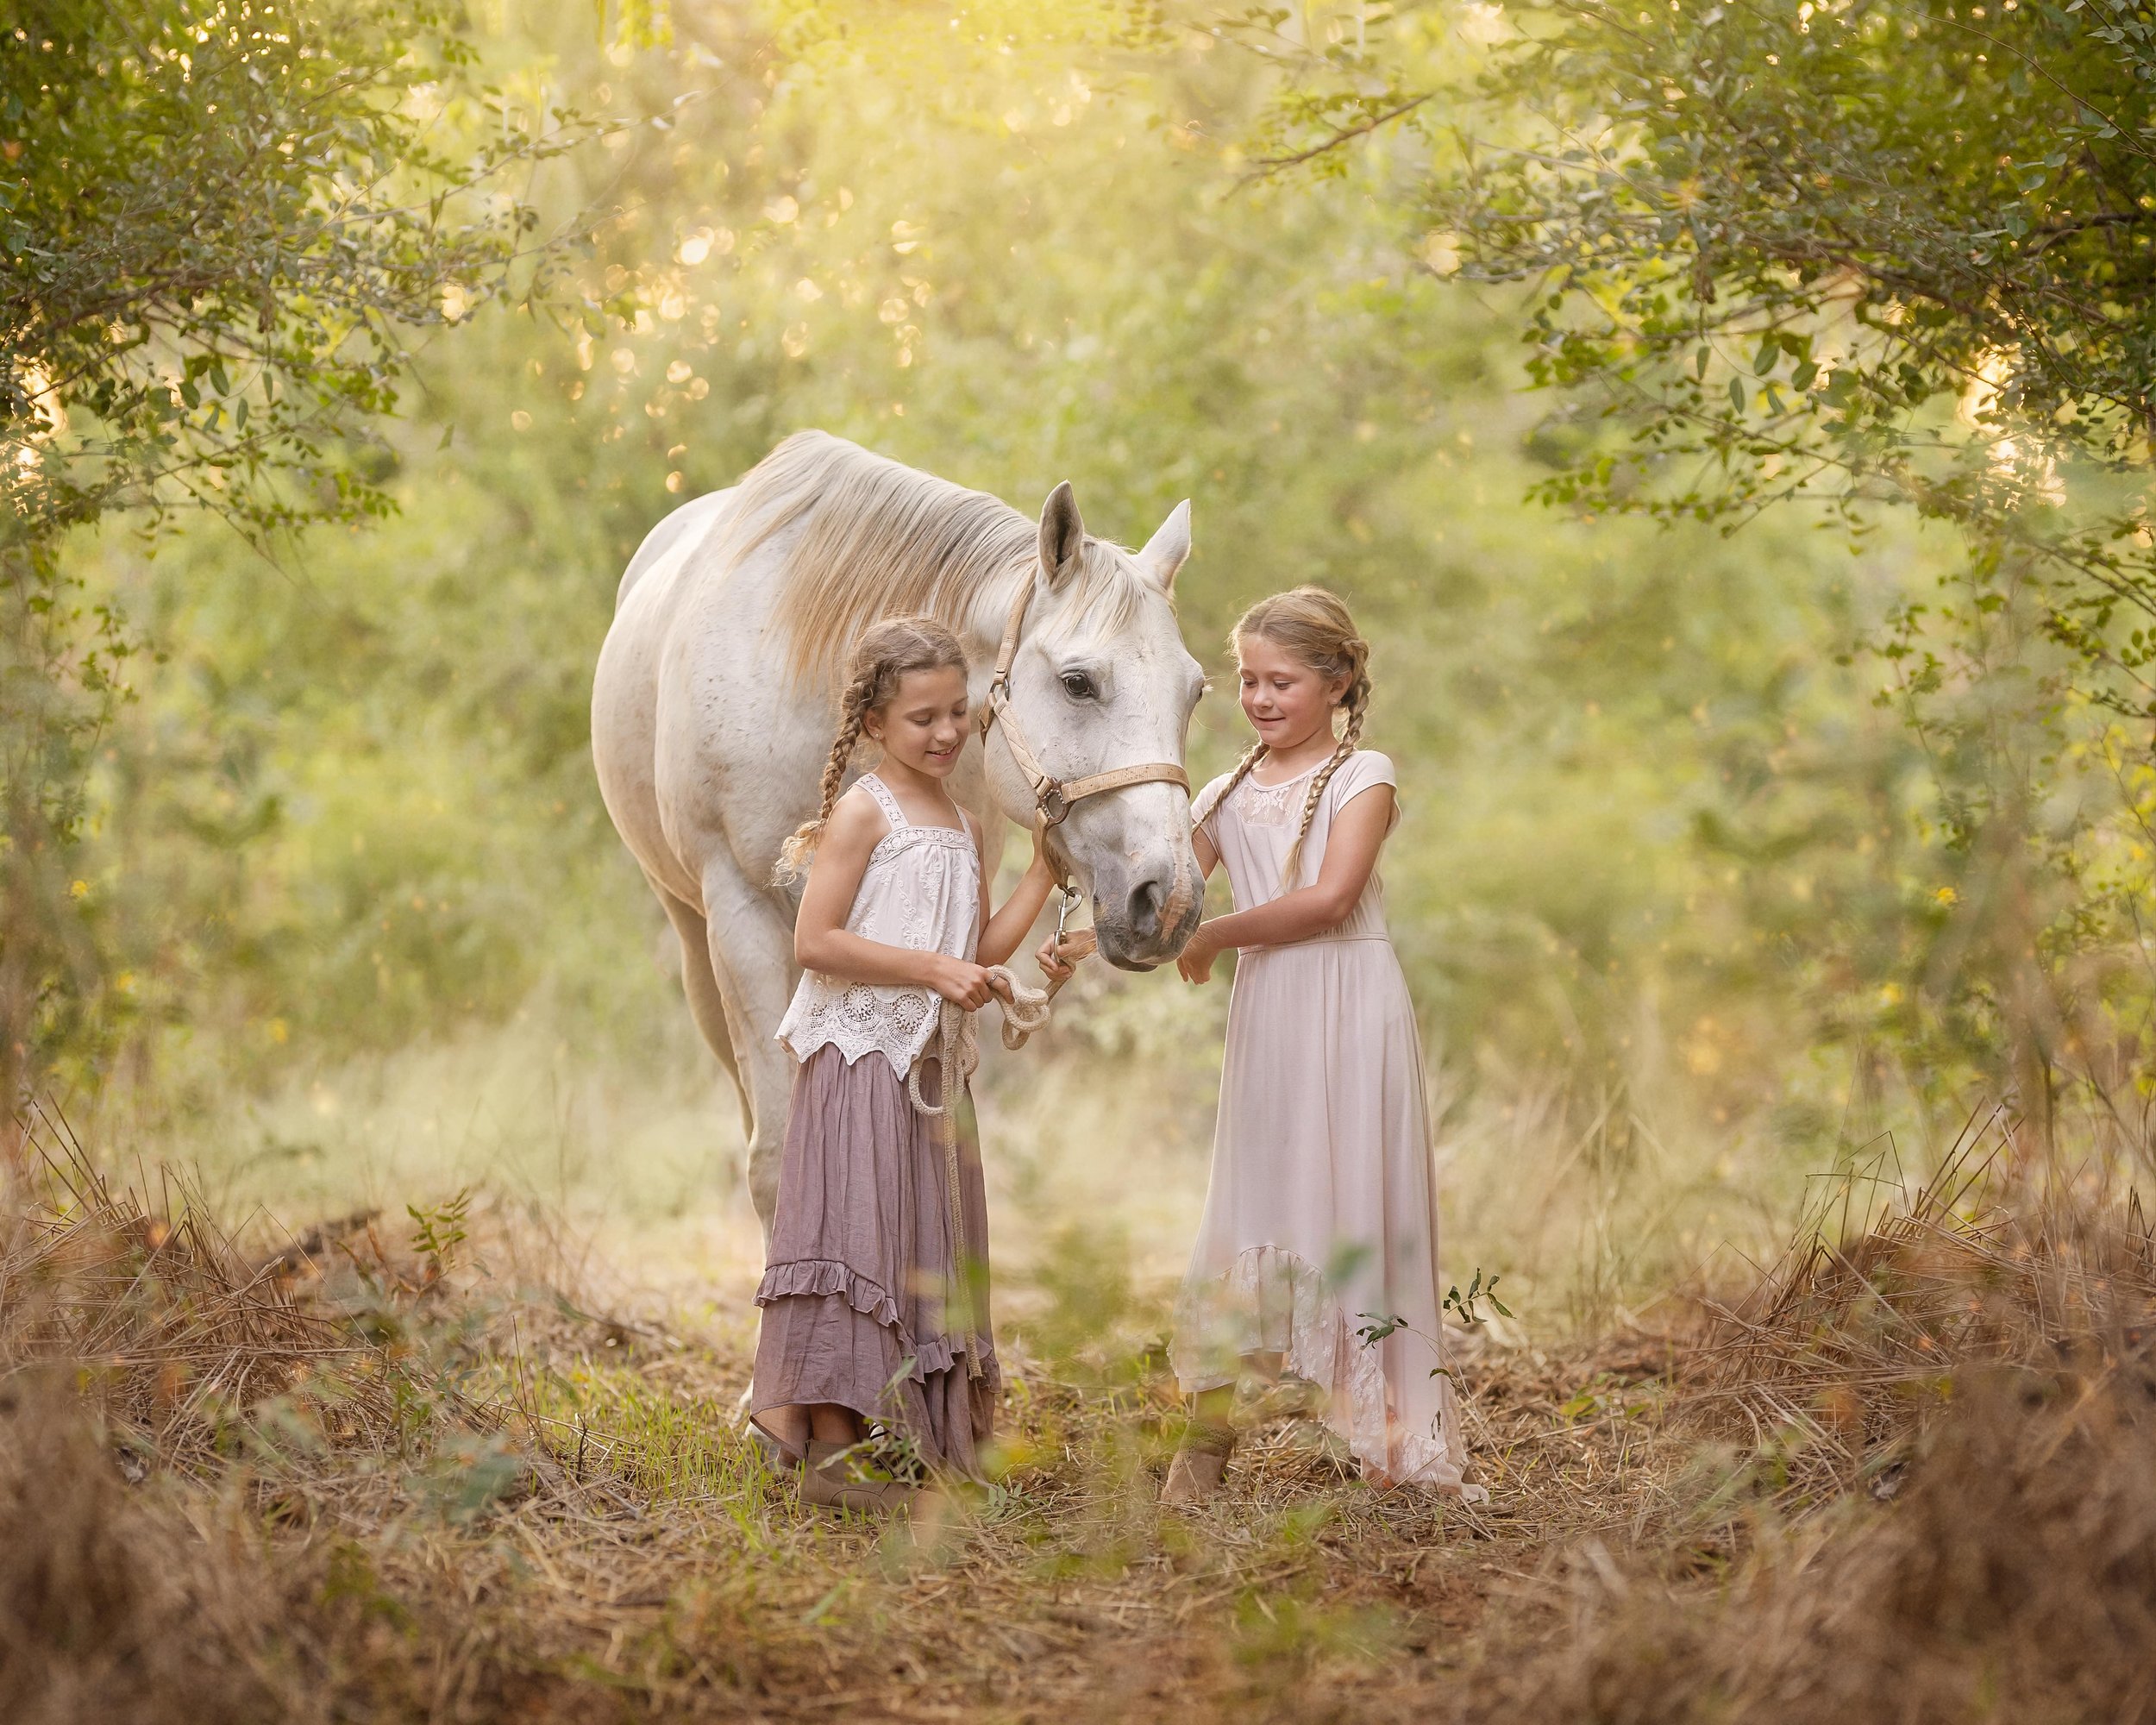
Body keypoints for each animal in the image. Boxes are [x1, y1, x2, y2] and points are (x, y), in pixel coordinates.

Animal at [591, 431, 1207, 1225]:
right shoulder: (742, 916)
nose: (1171, 900)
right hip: (696, 938)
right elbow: (776, 1162)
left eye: (1196, 691)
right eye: (1077, 682)